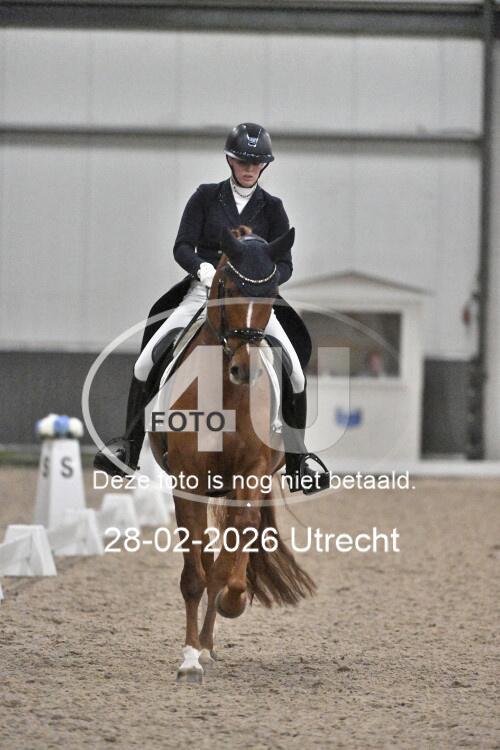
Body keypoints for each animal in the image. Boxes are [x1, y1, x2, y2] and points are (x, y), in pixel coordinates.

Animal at [148, 226, 316, 683]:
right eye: (226, 286)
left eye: (271, 293)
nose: (245, 369)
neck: (225, 391)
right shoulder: (187, 481)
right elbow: (195, 574)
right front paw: (189, 659)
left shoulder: (251, 473)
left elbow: (227, 559)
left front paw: (231, 602)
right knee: (206, 555)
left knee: (237, 540)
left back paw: (211, 638)